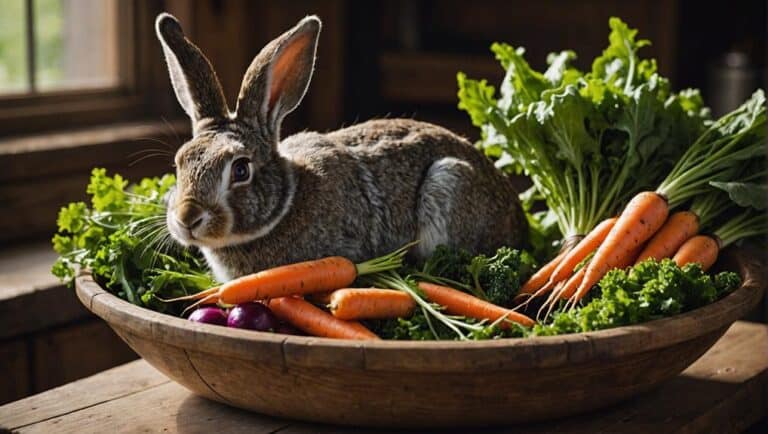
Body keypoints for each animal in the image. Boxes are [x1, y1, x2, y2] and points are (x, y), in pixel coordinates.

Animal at [156, 13, 527, 282]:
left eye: (241, 169)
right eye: (179, 163)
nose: (187, 218)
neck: (285, 204)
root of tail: (519, 223)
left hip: (449, 181)